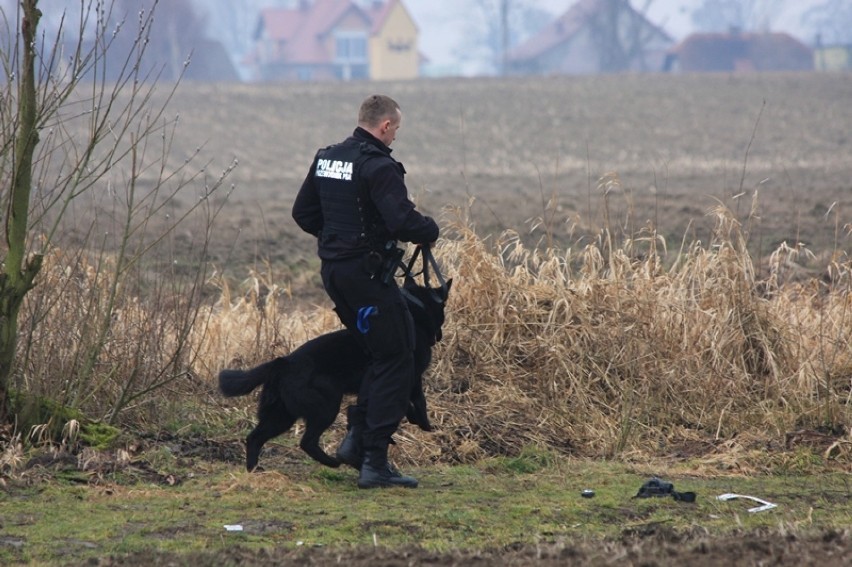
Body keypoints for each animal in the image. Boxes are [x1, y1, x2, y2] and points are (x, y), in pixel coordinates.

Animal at [216, 278, 450, 470]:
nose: (439, 336)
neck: (416, 313)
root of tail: (283, 363)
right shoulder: (412, 376)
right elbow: (418, 401)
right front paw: (424, 423)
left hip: (282, 415)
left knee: (254, 437)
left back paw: (254, 469)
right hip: (326, 407)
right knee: (307, 442)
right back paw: (333, 461)